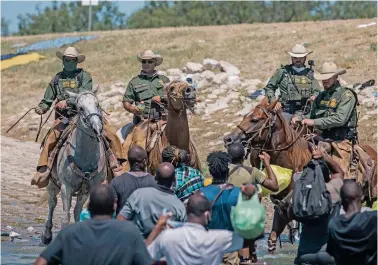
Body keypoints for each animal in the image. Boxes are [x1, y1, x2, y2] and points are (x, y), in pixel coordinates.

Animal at [42, 91, 107, 243]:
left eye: (97, 104)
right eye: (80, 108)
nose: (97, 128)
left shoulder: (87, 190)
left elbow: (78, 212)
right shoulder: (66, 187)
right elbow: (66, 217)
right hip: (52, 184)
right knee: (52, 203)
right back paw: (47, 235)